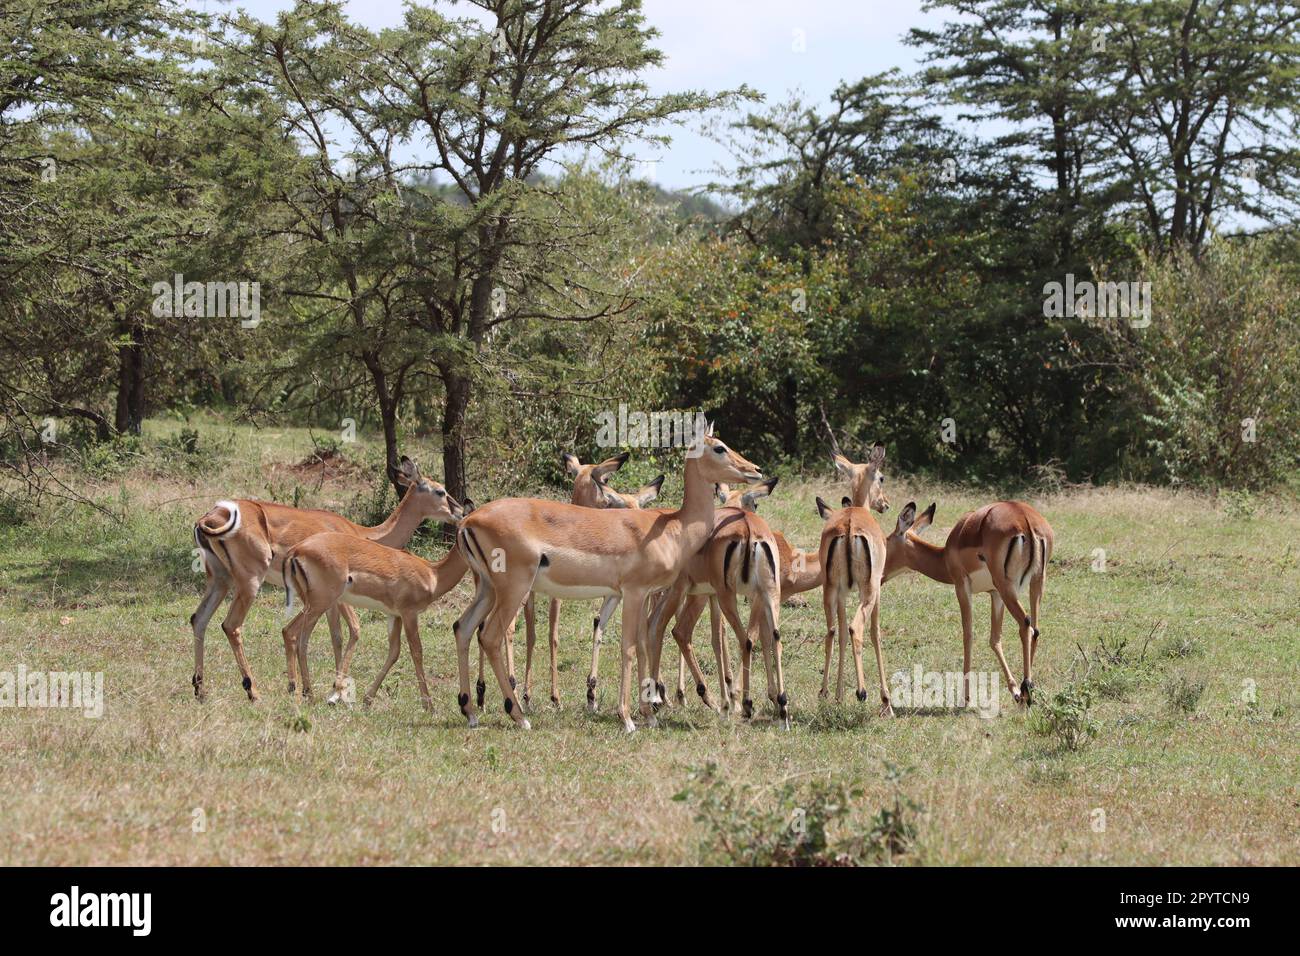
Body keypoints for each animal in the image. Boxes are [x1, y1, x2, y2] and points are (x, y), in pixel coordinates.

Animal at [281, 534, 468, 710]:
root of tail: (297, 550)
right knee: (292, 634)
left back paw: (308, 694)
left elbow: (394, 653)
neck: (432, 574)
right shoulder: (409, 614)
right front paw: (429, 707)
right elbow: (417, 652)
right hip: (320, 604)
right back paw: (300, 692)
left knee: (299, 638)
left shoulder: (394, 616)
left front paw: (367, 700)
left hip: (315, 605)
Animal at [453, 424, 763, 731]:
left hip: (488, 589)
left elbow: (642, 644)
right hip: (513, 589)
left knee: (463, 627)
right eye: (719, 447)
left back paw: (470, 712)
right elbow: (628, 647)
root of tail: (469, 521)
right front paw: (627, 718)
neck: (672, 528)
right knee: (490, 635)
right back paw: (519, 715)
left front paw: (648, 714)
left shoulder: (631, 594)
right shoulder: (634, 592)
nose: (756, 470)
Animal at [646, 476, 788, 727]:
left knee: (669, 630)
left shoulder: (712, 595)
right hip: (760, 594)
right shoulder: (722, 596)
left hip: (705, 594)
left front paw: (730, 701)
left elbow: (718, 639)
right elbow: (724, 639)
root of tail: (748, 529)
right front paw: (731, 700)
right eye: (756, 503)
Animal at [881, 501, 1054, 705]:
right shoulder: (995, 594)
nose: (879, 577)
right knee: (1035, 629)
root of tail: (1025, 519)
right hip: (1036, 582)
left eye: (886, 543)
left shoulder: (962, 586)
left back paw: (1026, 689)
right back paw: (1026, 691)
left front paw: (966, 696)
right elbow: (994, 639)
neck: (946, 555)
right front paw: (1014, 690)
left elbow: (968, 635)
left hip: (1007, 587)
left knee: (1025, 624)